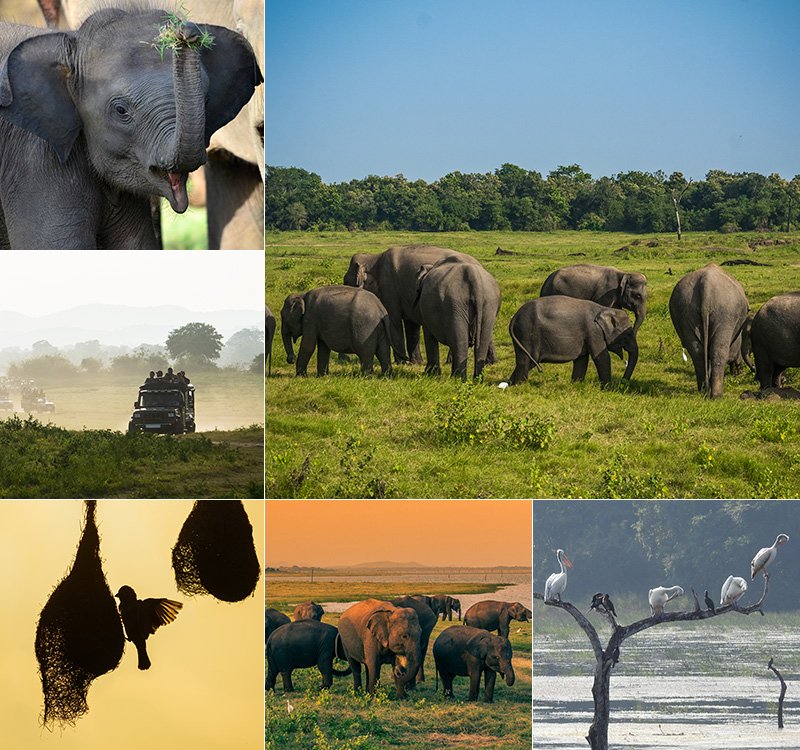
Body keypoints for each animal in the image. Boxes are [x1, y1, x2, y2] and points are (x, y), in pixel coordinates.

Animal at [344, 245, 496, 365]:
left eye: (347, 281)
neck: (373, 258)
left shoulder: (390, 288)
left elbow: (394, 322)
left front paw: (402, 363)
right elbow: (411, 326)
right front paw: (416, 362)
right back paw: (490, 362)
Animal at [508, 296, 639, 387]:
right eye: (629, 334)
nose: (623, 384)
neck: (605, 309)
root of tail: (514, 317)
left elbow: (582, 359)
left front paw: (577, 384)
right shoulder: (594, 332)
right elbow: (602, 357)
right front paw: (607, 388)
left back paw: (510, 384)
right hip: (526, 333)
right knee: (527, 361)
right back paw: (519, 385)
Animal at [669, 264, 750, 398]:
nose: (739, 373)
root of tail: (706, 285)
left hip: (684, 310)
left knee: (696, 352)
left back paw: (704, 391)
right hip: (725, 313)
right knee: (719, 350)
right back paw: (717, 395)